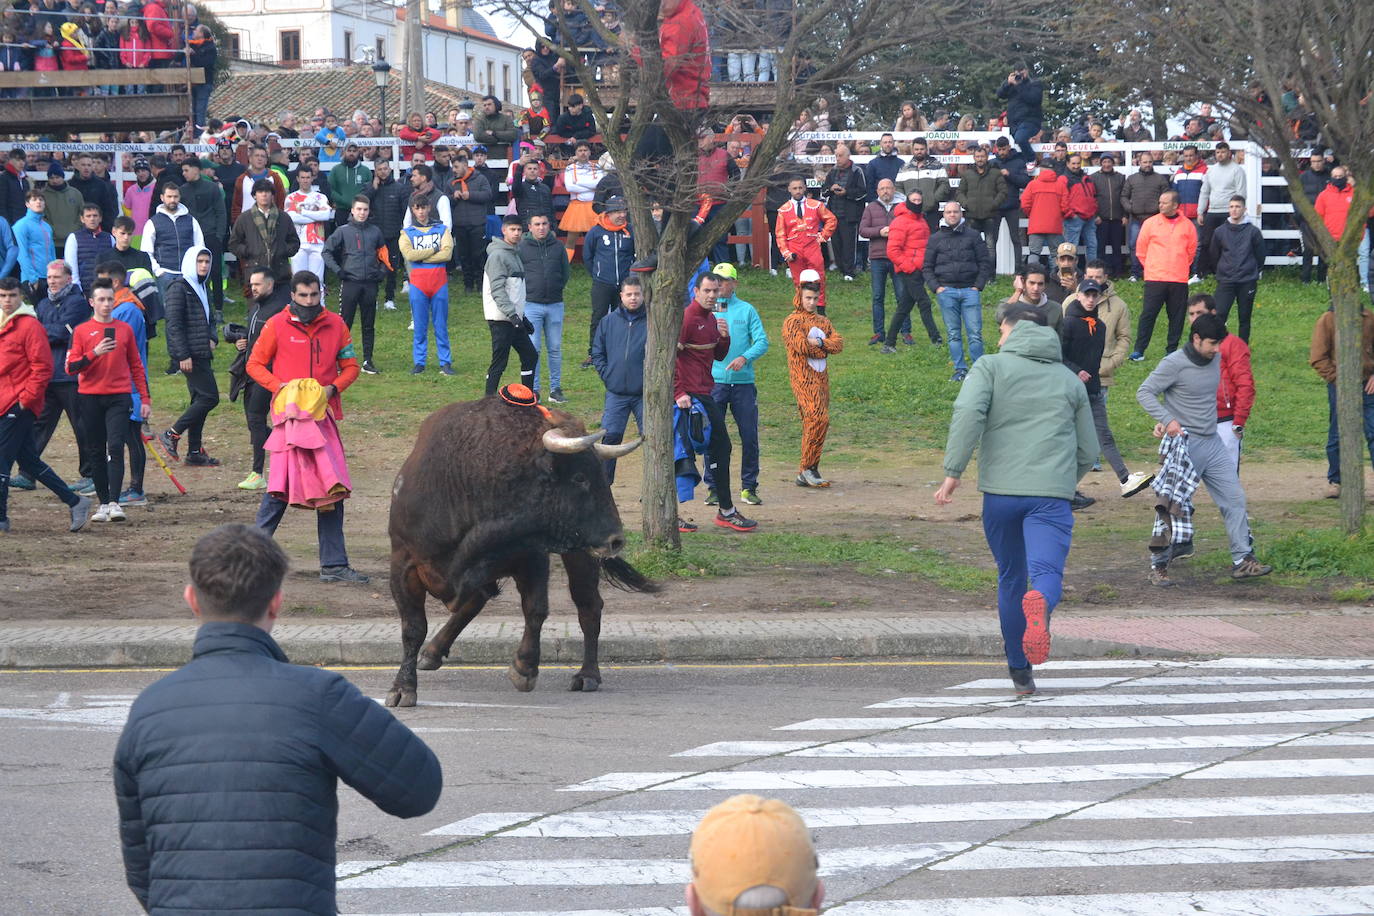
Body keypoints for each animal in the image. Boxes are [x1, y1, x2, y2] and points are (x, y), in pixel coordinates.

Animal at [384, 395, 662, 708]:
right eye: (579, 477)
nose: (616, 540)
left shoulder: (531, 558)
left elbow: (535, 609)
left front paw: (524, 667)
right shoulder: (403, 564)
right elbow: (413, 628)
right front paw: (402, 687)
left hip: (581, 554)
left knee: (588, 605)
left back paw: (588, 674)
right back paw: (432, 652)